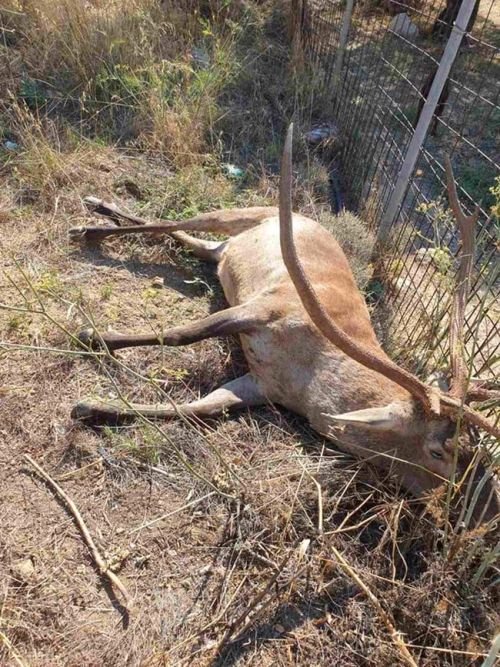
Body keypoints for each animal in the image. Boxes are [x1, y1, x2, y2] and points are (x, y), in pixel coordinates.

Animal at [69, 125, 499, 524]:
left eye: (475, 449)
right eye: (439, 450)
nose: (483, 513)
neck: (310, 384)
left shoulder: (263, 385)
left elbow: (200, 408)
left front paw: (94, 406)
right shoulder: (267, 307)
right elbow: (183, 334)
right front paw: (93, 336)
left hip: (224, 250)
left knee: (193, 241)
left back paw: (99, 214)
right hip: (243, 213)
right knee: (172, 221)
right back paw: (91, 217)